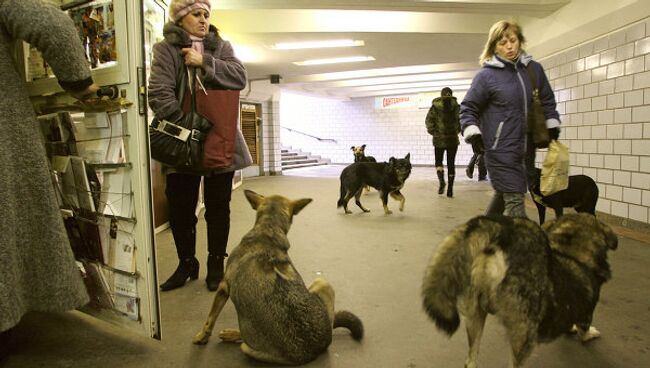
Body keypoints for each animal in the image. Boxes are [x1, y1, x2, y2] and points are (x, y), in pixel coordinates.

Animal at [192, 191, 364, 364]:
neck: (269, 228)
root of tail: (310, 351)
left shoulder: (223, 287)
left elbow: (210, 318)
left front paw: (202, 337)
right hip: (323, 283)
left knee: (243, 337)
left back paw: (231, 333)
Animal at [420, 213, 612, 368]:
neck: (572, 254)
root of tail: (504, 231)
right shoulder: (586, 312)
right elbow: (584, 330)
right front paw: (588, 333)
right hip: (524, 333)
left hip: (475, 314)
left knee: (471, 361)